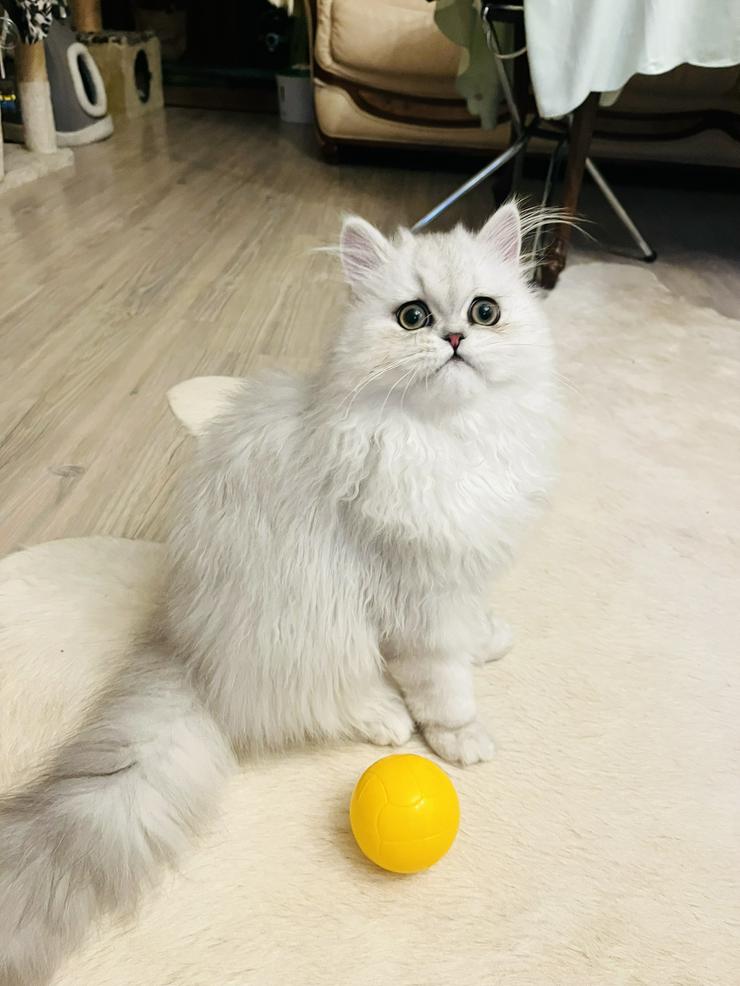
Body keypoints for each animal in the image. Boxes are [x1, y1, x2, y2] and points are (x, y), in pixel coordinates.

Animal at [0, 202, 556, 984]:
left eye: (485, 311)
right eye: (413, 317)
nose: (453, 337)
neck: (447, 441)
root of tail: (181, 643)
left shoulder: (460, 569)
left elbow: (470, 627)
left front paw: (490, 640)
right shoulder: (414, 596)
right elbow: (443, 684)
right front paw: (460, 737)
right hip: (312, 628)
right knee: (316, 704)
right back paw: (383, 717)